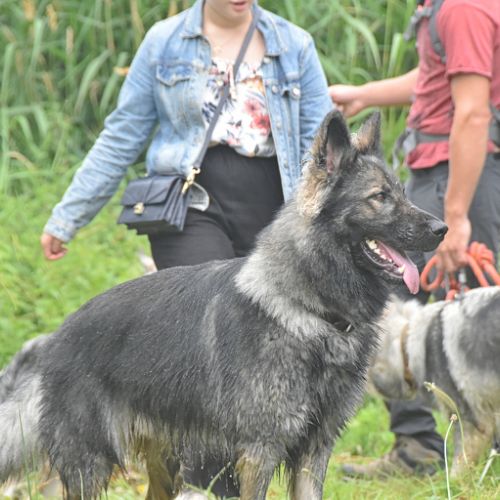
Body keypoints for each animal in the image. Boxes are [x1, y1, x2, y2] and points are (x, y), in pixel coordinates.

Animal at [0, 110, 446, 499]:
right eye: (379, 197)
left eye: (402, 193)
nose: (442, 228)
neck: (312, 310)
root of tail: (55, 337)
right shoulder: (258, 454)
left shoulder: (314, 452)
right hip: (90, 468)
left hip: (164, 467)